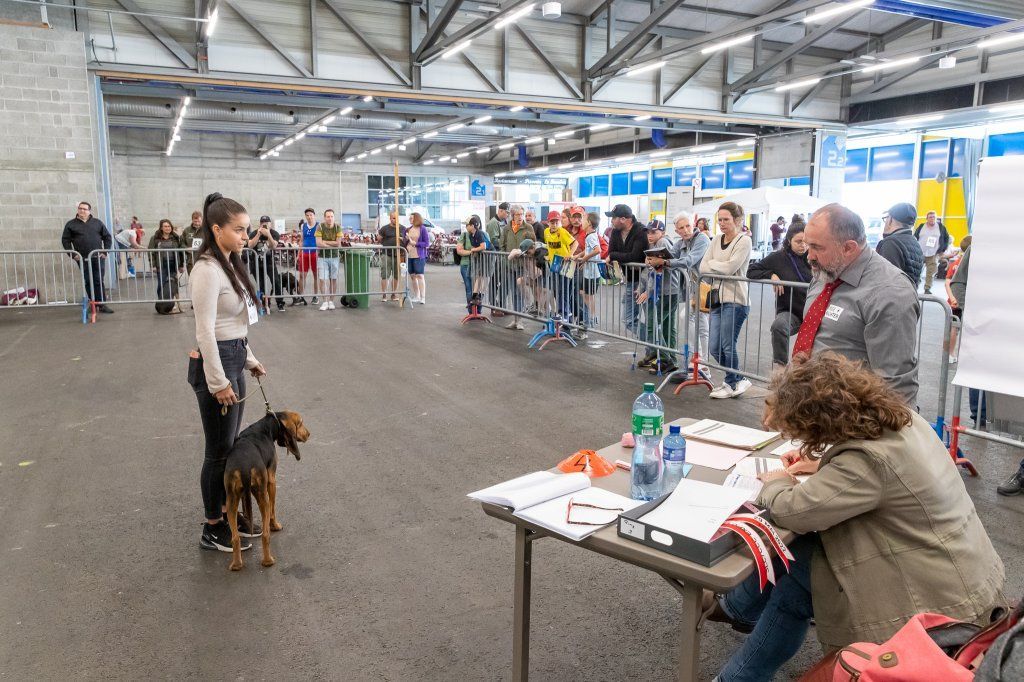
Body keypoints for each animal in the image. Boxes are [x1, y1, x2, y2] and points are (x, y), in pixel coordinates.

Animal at [222, 409, 305, 569]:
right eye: (301, 423)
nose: (308, 434)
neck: (267, 425)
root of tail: (244, 465)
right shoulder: (271, 482)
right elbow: (273, 509)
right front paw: (275, 525)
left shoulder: (243, 494)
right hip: (262, 497)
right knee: (266, 534)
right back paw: (268, 561)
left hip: (231, 500)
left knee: (235, 538)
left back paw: (236, 564)